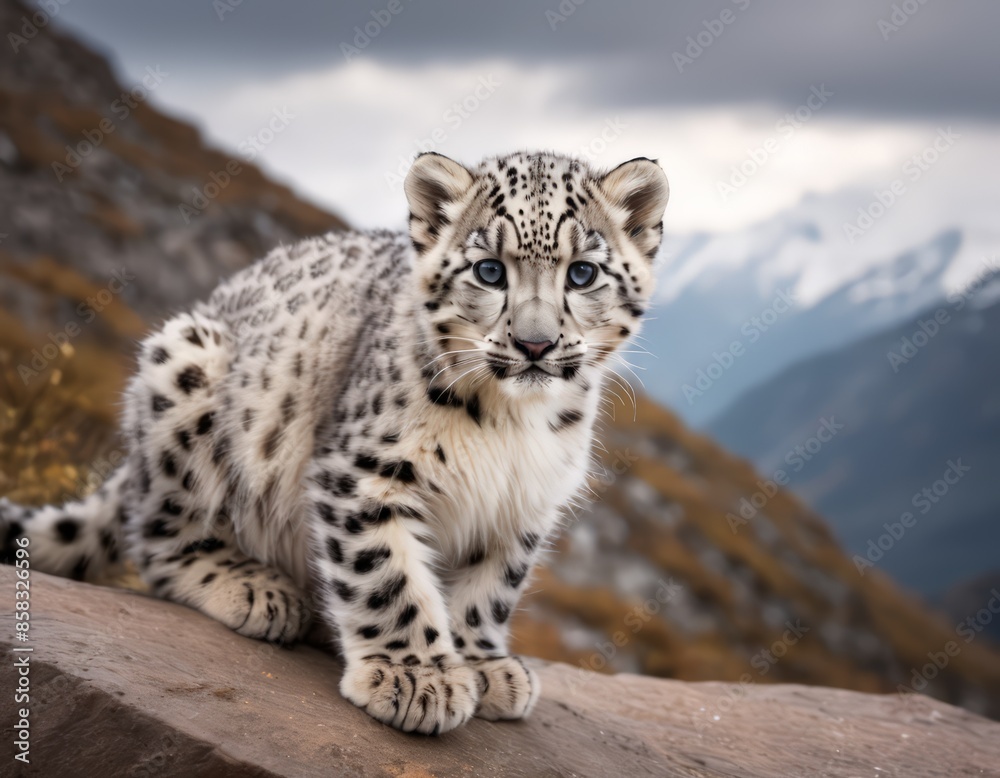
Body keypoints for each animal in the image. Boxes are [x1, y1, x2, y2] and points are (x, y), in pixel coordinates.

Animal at [1, 150, 669, 734]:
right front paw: (416, 678)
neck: (514, 424)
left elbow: (490, 588)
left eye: (582, 272)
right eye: (489, 270)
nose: (535, 344)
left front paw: (482, 664)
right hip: (185, 367)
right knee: (158, 538)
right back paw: (257, 590)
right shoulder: (366, 472)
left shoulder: (523, 504)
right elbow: (387, 575)